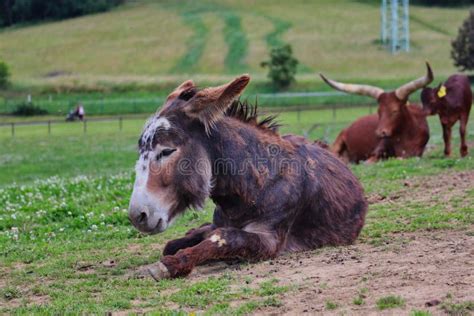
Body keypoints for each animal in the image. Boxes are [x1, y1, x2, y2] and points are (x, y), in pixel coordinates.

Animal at [127, 74, 366, 278]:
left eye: (166, 151)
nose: (137, 216)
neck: (254, 186)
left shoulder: (270, 240)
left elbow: (225, 238)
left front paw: (172, 264)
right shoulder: (219, 223)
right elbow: (173, 244)